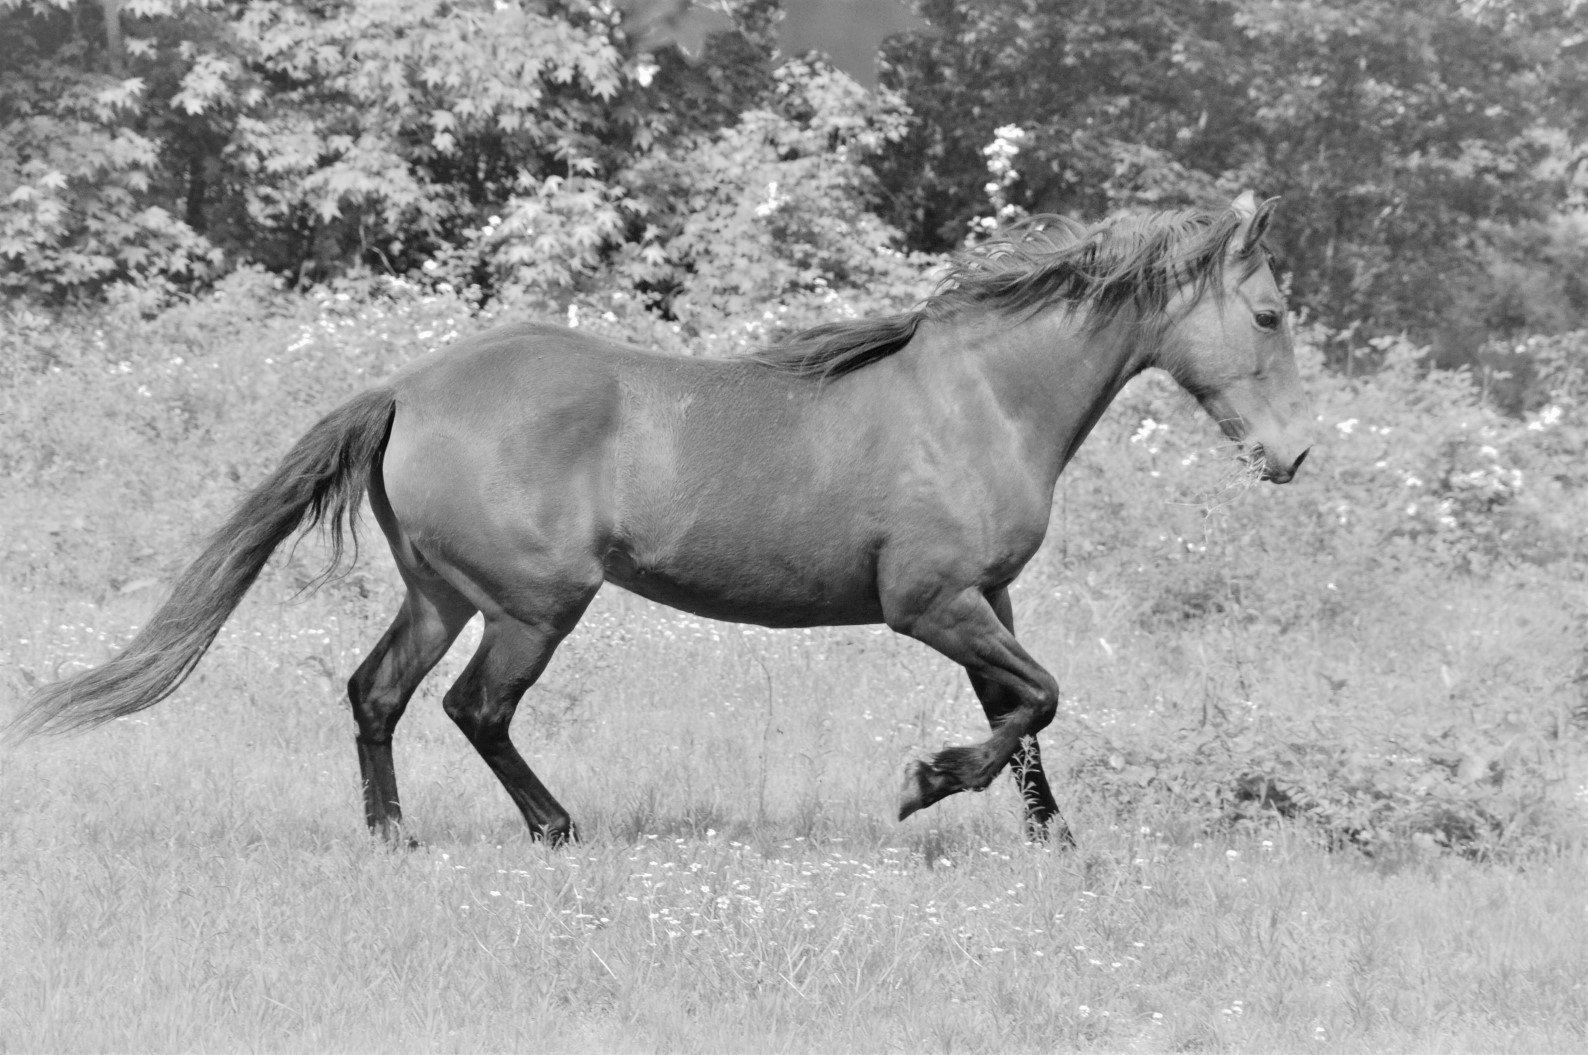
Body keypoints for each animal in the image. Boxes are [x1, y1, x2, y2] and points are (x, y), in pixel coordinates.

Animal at [9, 192, 1310, 847]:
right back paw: (557, 827)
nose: (1293, 454)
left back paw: (394, 838)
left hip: (439, 592)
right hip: (534, 605)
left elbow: (1024, 713)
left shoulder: (988, 596)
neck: (982, 399)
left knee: (376, 694)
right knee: (475, 709)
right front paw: (922, 783)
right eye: (1267, 312)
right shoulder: (929, 601)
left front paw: (1051, 840)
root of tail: (409, 387)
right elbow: (1035, 699)